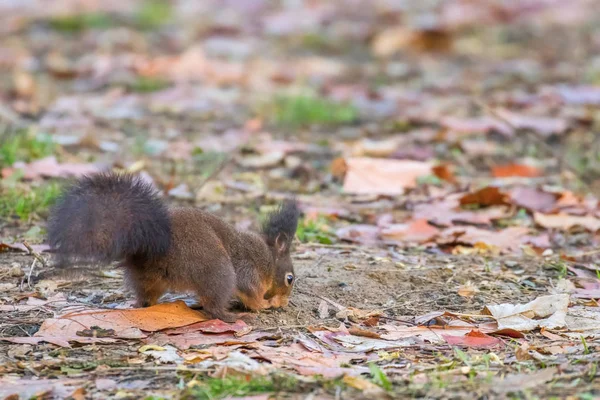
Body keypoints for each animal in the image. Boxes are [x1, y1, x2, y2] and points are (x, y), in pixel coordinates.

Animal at [48, 173, 300, 322]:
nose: (286, 300)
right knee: (214, 307)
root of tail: (152, 246)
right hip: (218, 269)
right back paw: (232, 316)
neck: (268, 258)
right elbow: (252, 295)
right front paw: (267, 303)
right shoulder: (250, 270)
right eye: (290, 278)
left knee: (145, 298)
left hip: (147, 278)